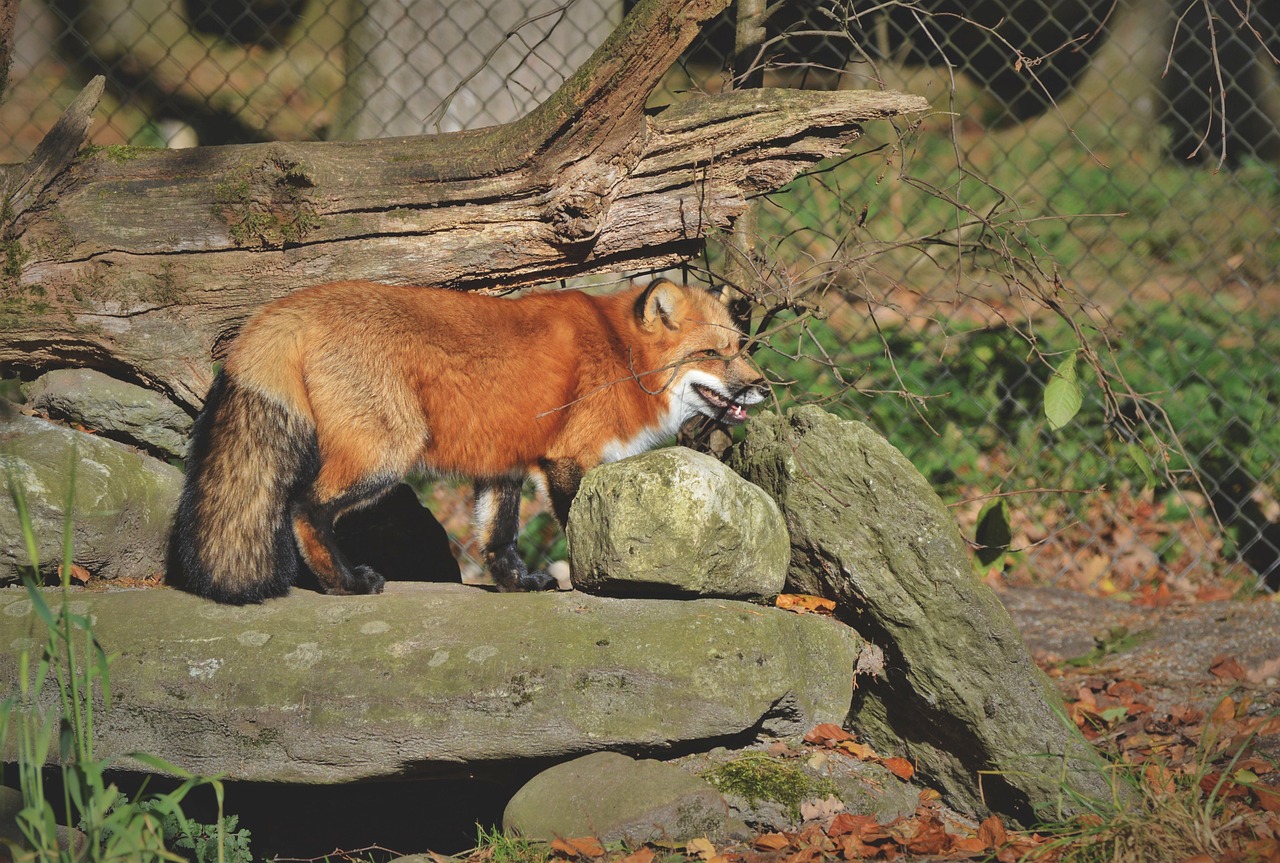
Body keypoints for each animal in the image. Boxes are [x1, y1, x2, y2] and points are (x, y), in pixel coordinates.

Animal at [170, 279, 768, 601]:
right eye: (712, 355)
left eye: (741, 348)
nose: (763, 386)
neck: (621, 356)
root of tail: (292, 304)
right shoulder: (566, 458)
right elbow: (577, 530)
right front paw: (596, 585)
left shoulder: (503, 463)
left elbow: (498, 539)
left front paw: (517, 585)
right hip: (386, 455)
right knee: (302, 507)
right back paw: (345, 583)